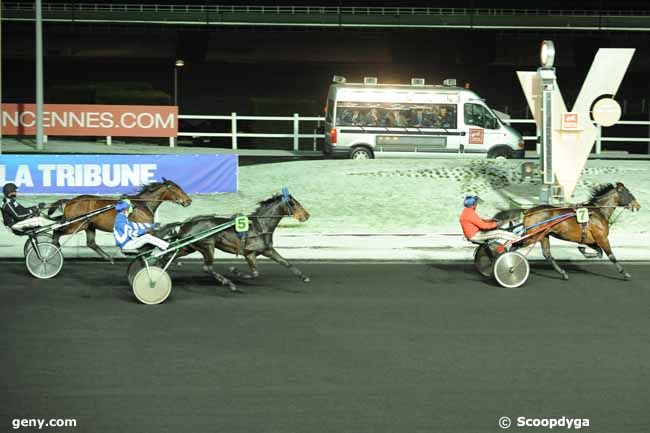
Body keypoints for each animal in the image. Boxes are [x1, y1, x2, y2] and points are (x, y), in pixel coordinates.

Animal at [49, 177, 191, 262]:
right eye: (177, 189)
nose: (189, 201)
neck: (142, 204)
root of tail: (70, 201)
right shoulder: (143, 228)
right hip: (76, 225)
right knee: (57, 233)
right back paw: (54, 251)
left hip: (89, 226)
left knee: (91, 243)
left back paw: (108, 258)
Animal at [156, 188, 310, 290]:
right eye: (294, 204)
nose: (307, 215)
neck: (260, 226)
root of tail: (186, 223)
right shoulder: (249, 253)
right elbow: (255, 273)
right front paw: (234, 271)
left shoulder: (267, 250)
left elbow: (285, 263)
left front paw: (304, 277)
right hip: (207, 245)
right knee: (207, 267)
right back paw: (229, 283)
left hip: (188, 247)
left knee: (167, 257)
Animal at [496, 181, 636, 280]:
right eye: (629, 193)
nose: (637, 205)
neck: (598, 211)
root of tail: (528, 211)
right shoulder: (602, 237)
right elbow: (611, 256)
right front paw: (625, 274)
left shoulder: (591, 240)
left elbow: (598, 252)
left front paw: (583, 251)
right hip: (532, 236)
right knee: (514, 245)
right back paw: (509, 265)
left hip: (543, 236)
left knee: (547, 255)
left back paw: (563, 273)